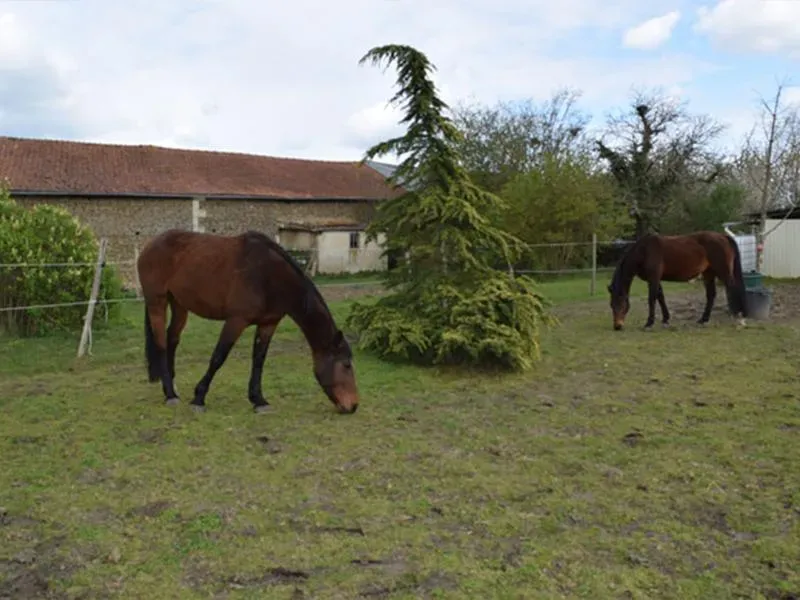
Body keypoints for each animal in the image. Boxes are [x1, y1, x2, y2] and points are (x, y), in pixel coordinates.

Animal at [136, 229, 359, 414]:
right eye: (346, 364)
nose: (353, 405)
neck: (269, 275)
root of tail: (150, 244)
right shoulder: (236, 320)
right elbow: (218, 357)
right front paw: (199, 398)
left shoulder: (268, 324)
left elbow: (259, 360)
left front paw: (258, 400)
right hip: (157, 302)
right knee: (161, 342)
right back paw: (170, 395)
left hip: (179, 304)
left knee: (172, 339)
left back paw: (172, 387)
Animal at [607, 231, 748, 331]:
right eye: (611, 305)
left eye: (621, 304)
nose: (617, 326)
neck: (645, 250)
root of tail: (723, 237)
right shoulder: (655, 279)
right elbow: (660, 297)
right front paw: (665, 319)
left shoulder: (653, 278)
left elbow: (652, 299)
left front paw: (649, 323)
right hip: (708, 274)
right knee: (711, 295)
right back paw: (703, 319)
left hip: (723, 273)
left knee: (733, 290)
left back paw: (739, 318)